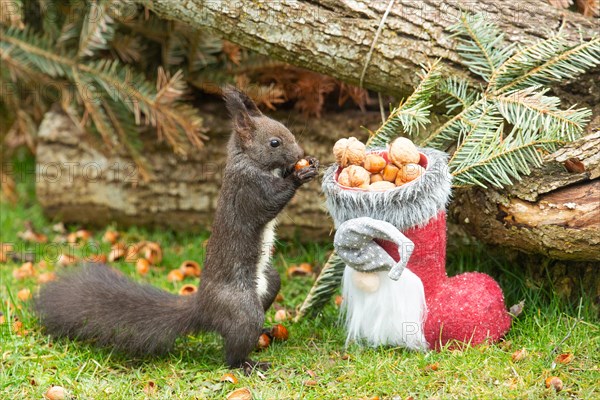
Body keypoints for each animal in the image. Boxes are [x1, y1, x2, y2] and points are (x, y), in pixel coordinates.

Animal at [34, 86, 318, 374]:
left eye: (287, 130)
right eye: (274, 143)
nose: (299, 153)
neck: (249, 161)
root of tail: (203, 308)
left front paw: (307, 164)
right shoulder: (248, 190)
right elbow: (270, 202)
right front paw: (298, 176)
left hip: (270, 281)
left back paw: (267, 331)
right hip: (242, 309)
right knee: (232, 351)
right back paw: (248, 363)